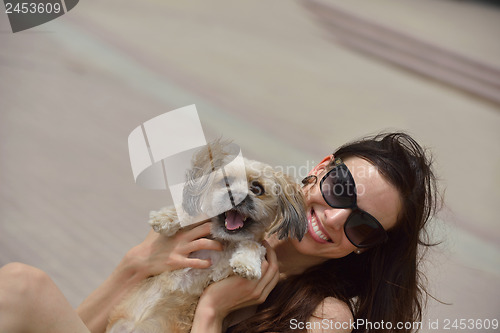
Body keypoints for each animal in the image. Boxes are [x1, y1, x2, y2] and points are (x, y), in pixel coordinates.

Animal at [107, 139, 306, 332]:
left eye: (257, 189)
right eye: (225, 182)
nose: (235, 196)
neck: (224, 241)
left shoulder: (220, 273)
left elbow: (254, 245)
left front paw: (246, 263)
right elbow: (190, 214)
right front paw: (164, 218)